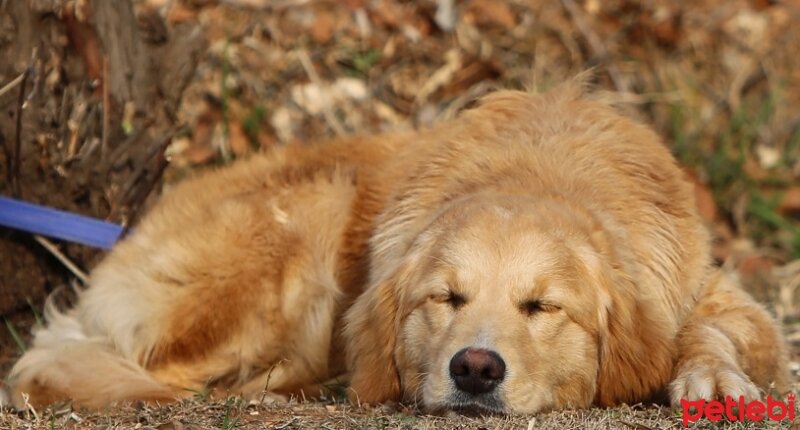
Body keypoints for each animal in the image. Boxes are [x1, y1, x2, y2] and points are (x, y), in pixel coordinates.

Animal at [4, 76, 788, 414]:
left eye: (542, 307)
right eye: (446, 298)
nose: (476, 369)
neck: (539, 167)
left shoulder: (715, 291)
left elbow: (714, 331)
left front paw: (711, 376)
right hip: (311, 216)